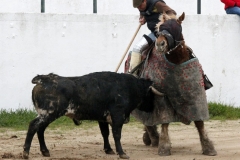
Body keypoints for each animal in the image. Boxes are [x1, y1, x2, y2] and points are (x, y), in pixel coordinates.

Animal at [23, 72, 163, 159]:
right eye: (151, 95)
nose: (152, 108)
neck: (129, 87)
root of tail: (42, 80)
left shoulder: (102, 118)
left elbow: (105, 133)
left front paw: (109, 150)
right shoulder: (118, 115)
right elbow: (116, 134)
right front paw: (122, 153)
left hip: (48, 115)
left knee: (40, 129)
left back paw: (45, 151)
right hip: (49, 113)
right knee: (33, 126)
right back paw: (25, 153)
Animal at [124, 12, 217, 156]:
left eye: (176, 27)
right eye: (160, 28)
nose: (160, 44)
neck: (177, 61)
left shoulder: (195, 95)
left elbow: (199, 121)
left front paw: (208, 147)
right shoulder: (161, 97)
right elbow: (164, 120)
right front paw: (164, 146)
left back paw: (150, 136)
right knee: (146, 118)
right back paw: (153, 137)